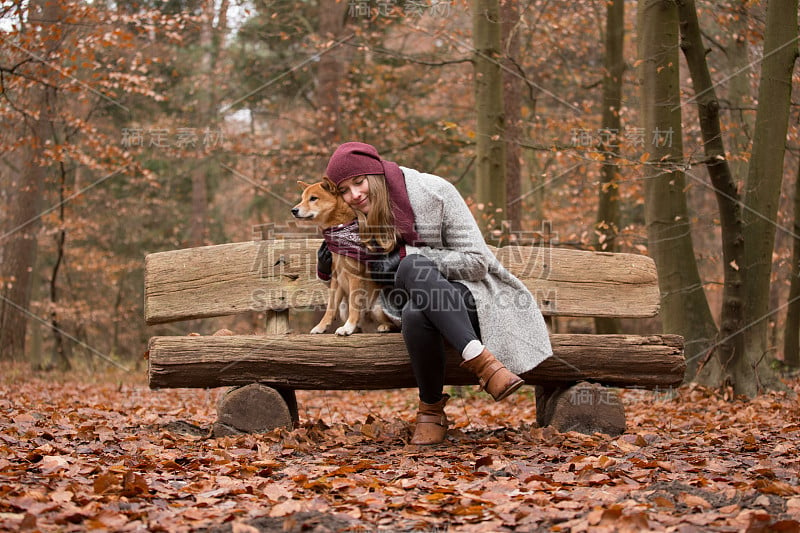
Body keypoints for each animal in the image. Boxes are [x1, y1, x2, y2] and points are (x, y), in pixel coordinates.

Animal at [290, 180, 396, 336]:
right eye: (302, 198)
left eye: (313, 198)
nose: (294, 210)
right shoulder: (336, 279)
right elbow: (330, 308)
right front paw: (321, 326)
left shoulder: (355, 277)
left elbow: (354, 305)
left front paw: (347, 327)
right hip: (343, 307)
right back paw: (357, 328)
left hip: (377, 307)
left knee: (395, 324)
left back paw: (384, 326)